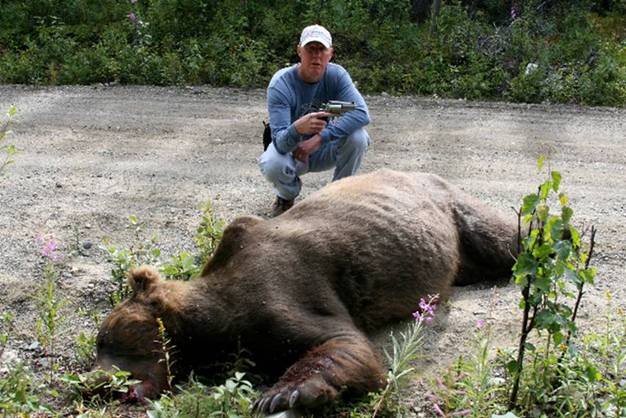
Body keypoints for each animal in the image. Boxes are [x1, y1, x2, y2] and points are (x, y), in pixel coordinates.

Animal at [95, 170, 516, 414]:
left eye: (111, 340)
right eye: (101, 344)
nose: (96, 382)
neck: (213, 322)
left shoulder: (280, 291)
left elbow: (343, 344)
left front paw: (284, 394)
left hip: (452, 209)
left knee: (505, 237)